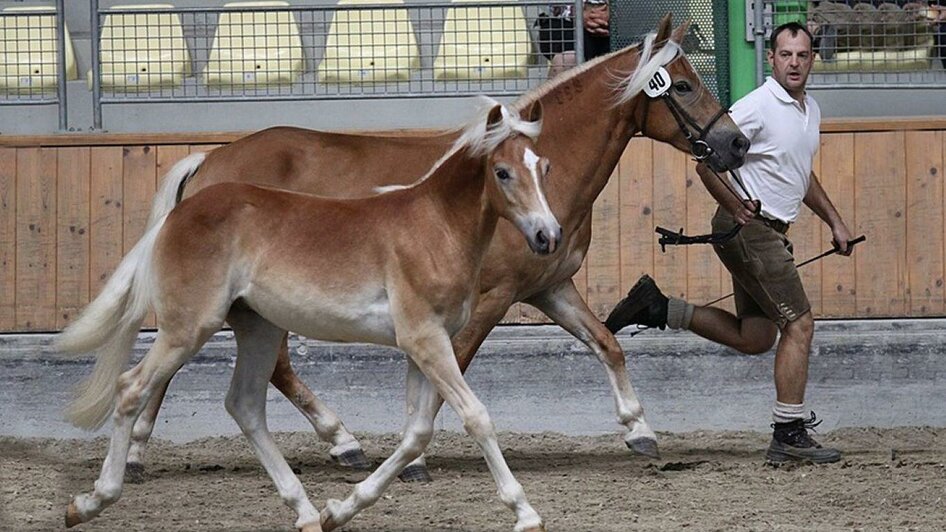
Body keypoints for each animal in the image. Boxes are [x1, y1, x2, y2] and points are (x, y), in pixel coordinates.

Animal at [59, 101, 556, 532]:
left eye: (545, 168)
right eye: (502, 172)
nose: (547, 235)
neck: (434, 228)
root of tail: (178, 214)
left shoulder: (426, 344)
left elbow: (417, 432)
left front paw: (342, 509)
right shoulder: (424, 339)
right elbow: (476, 417)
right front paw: (526, 514)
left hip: (258, 327)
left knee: (244, 404)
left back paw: (307, 511)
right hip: (188, 327)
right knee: (132, 388)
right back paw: (89, 502)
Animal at [77, 14, 748, 480]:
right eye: (683, 86)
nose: (736, 145)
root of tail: (210, 164)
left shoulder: (549, 288)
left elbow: (607, 343)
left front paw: (639, 430)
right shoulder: (485, 301)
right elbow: (449, 372)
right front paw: (416, 457)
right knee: (243, 363)